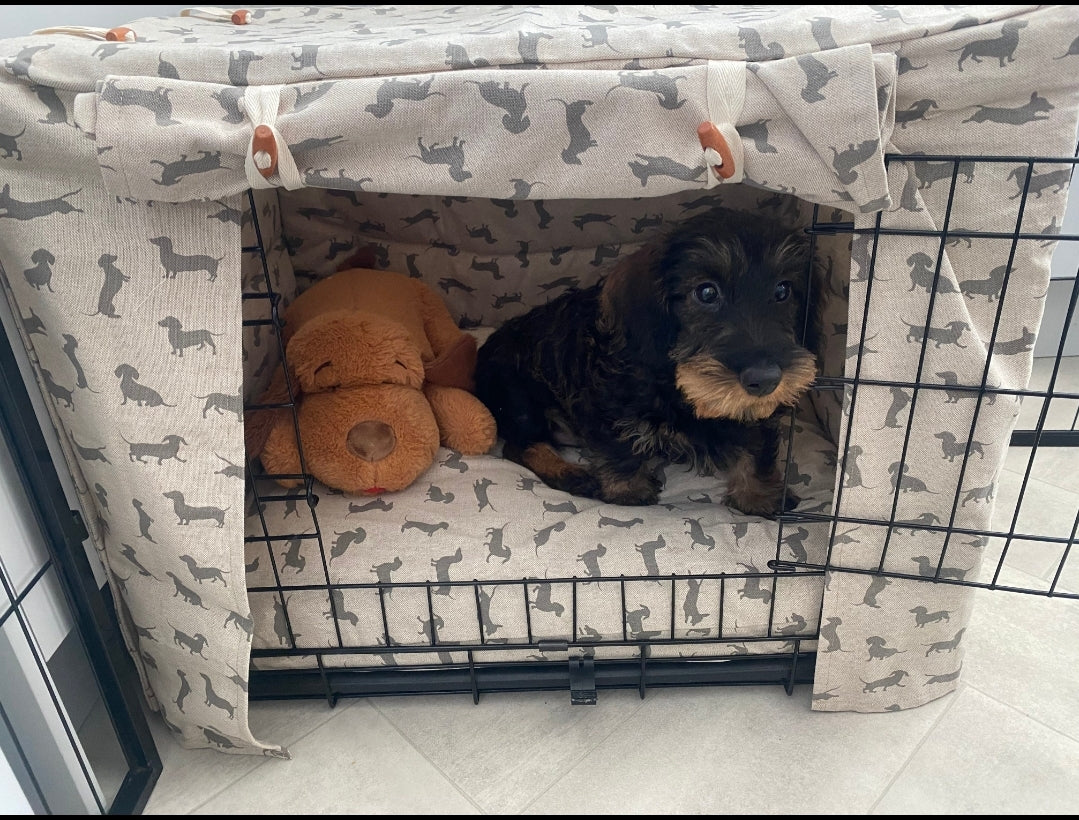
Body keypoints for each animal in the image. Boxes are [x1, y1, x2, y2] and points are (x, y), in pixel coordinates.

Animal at [472, 205, 815, 515]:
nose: (766, 379)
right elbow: (620, 445)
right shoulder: (608, 403)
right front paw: (628, 491)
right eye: (706, 293)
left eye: (783, 290)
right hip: (519, 400)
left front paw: (761, 497)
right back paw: (571, 474)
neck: (679, 384)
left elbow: (758, 448)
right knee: (521, 445)